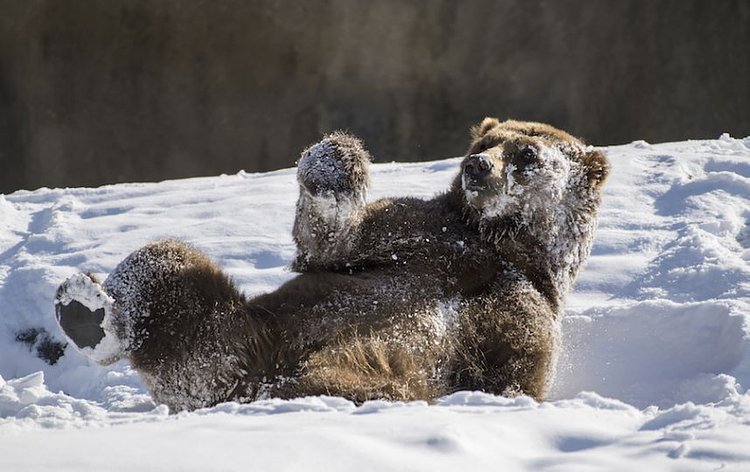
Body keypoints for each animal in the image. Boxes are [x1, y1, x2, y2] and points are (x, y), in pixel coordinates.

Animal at [54, 118, 609, 412]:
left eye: (527, 152)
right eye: (485, 143)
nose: (478, 166)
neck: (497, 243)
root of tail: (249, 386)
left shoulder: (523, 302)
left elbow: (515, 371)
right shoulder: (420, 234)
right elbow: (332, 240)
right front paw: (333, 163)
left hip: (338, 368)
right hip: (248, 332)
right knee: (166, 267)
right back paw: (87, 312)